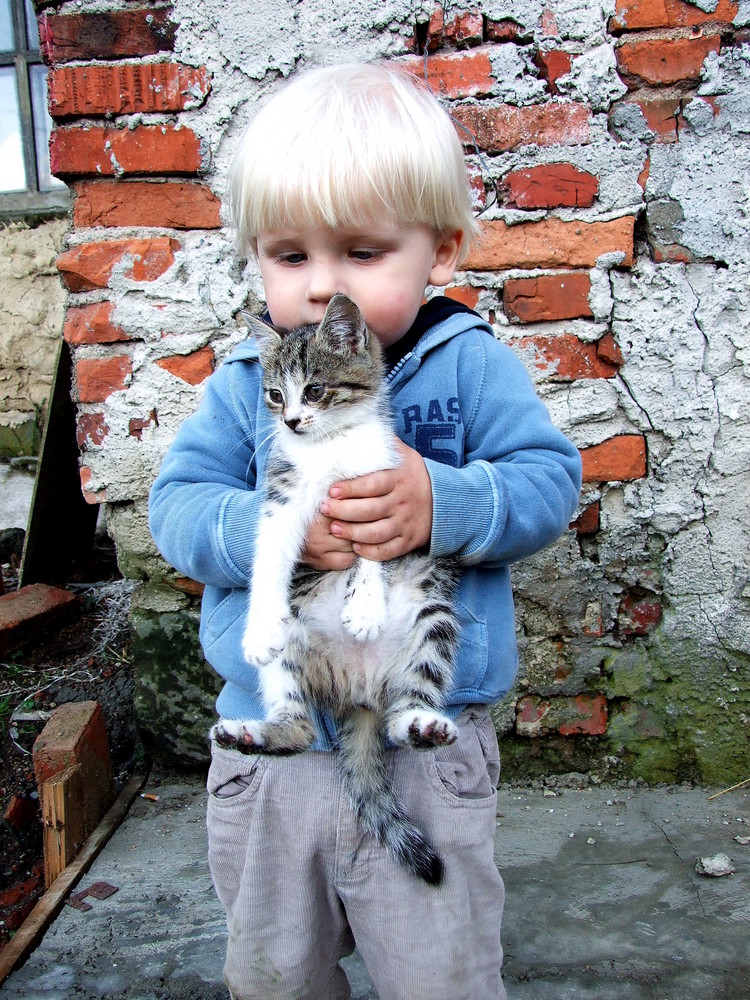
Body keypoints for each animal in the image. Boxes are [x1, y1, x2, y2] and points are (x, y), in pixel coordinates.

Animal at [210, 292, 458, 888]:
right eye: (275, 395)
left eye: (316, 390)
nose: (293, 421)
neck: (328, 448)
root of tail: (359, 692)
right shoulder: (281, 499)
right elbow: (268, 561)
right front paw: (257, 627)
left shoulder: (379, 490)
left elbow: (373, 552)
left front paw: (364, 604)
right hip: (296, 646)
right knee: (300, 729)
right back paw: (252, 735)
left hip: (433, 617)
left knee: (405, 709)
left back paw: (422, 723)